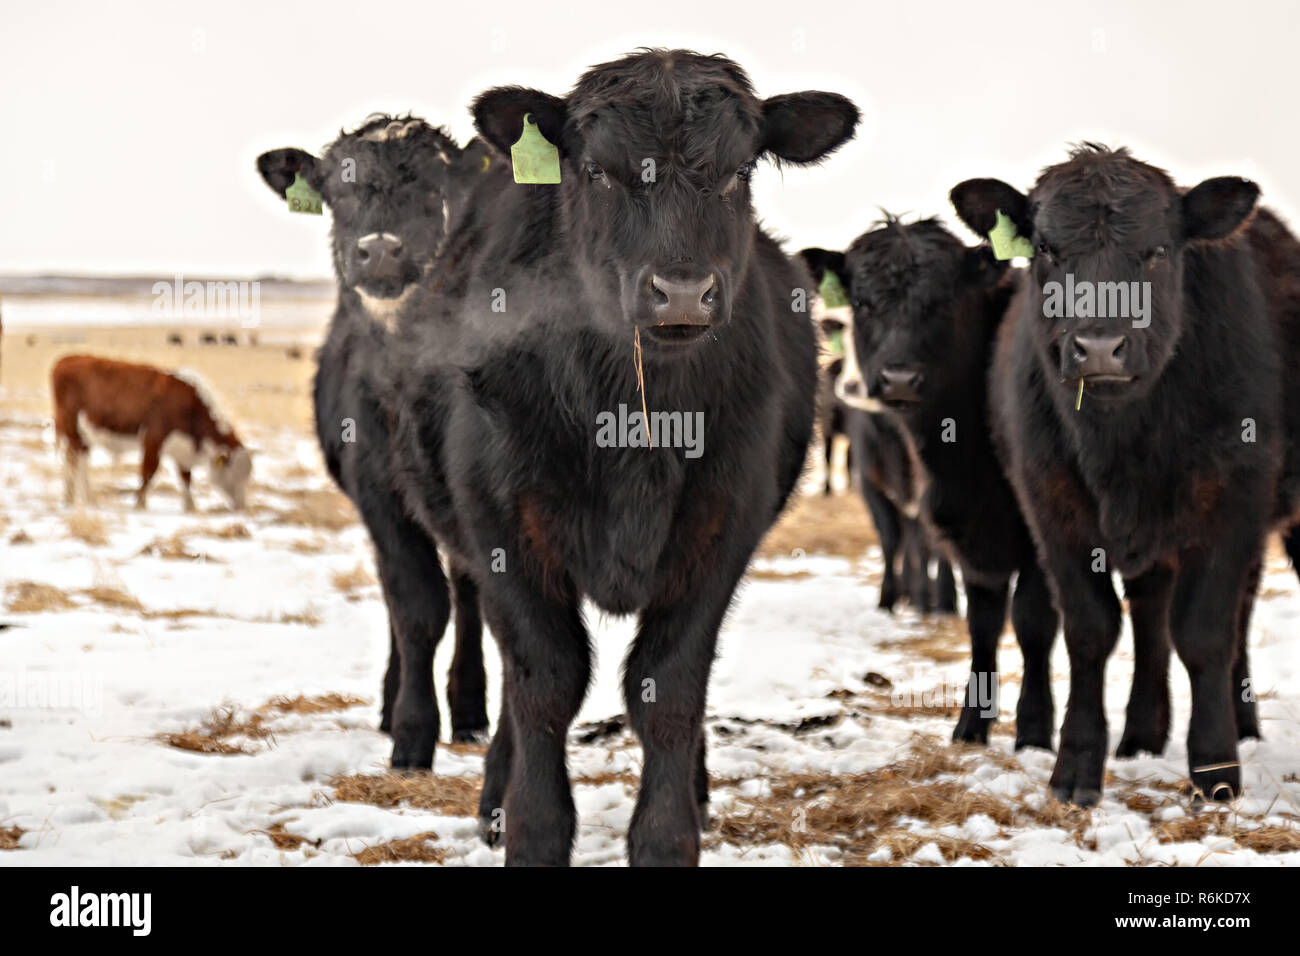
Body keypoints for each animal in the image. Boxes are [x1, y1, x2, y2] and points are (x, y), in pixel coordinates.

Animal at [52, 356, 253, 512]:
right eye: (233, 472)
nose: (241, 506)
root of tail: (66, 361)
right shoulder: (153, 441)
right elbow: (148, 473)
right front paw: (140, 504)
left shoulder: (182, 450)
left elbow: (186, 478)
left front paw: (190, 506)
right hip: (73, 432)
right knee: (79, 464)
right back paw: (89, 499)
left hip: (79, 436)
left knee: (72, 461)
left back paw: (69, 497)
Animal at [254, 115, 496, 764]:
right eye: (339, 193)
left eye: (437, 187)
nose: (381, 248)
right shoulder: (377, 490)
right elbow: (414, 606)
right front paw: (410, 731)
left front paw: (440, 721)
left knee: (466, 590)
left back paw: (469, 709)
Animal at [392, 48, 863, 868]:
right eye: (597, 171)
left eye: (738, 170)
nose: (681, 292)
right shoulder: (502, 533)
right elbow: (544, 684)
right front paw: (531, 830)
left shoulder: (720, 534)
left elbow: (668, 688)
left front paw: (669, 835)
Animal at [946, 145, 1300, 806]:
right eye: (1047, 249)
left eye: (1158, 250)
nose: (1100, 347)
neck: (1120, 445)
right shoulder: (1052, 508)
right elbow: (1091, 630)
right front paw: (1076, 766)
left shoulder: (1232, 504)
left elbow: (1204, 633)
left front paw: (1215, 769)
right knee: (1149, 617)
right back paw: (1141, 735)